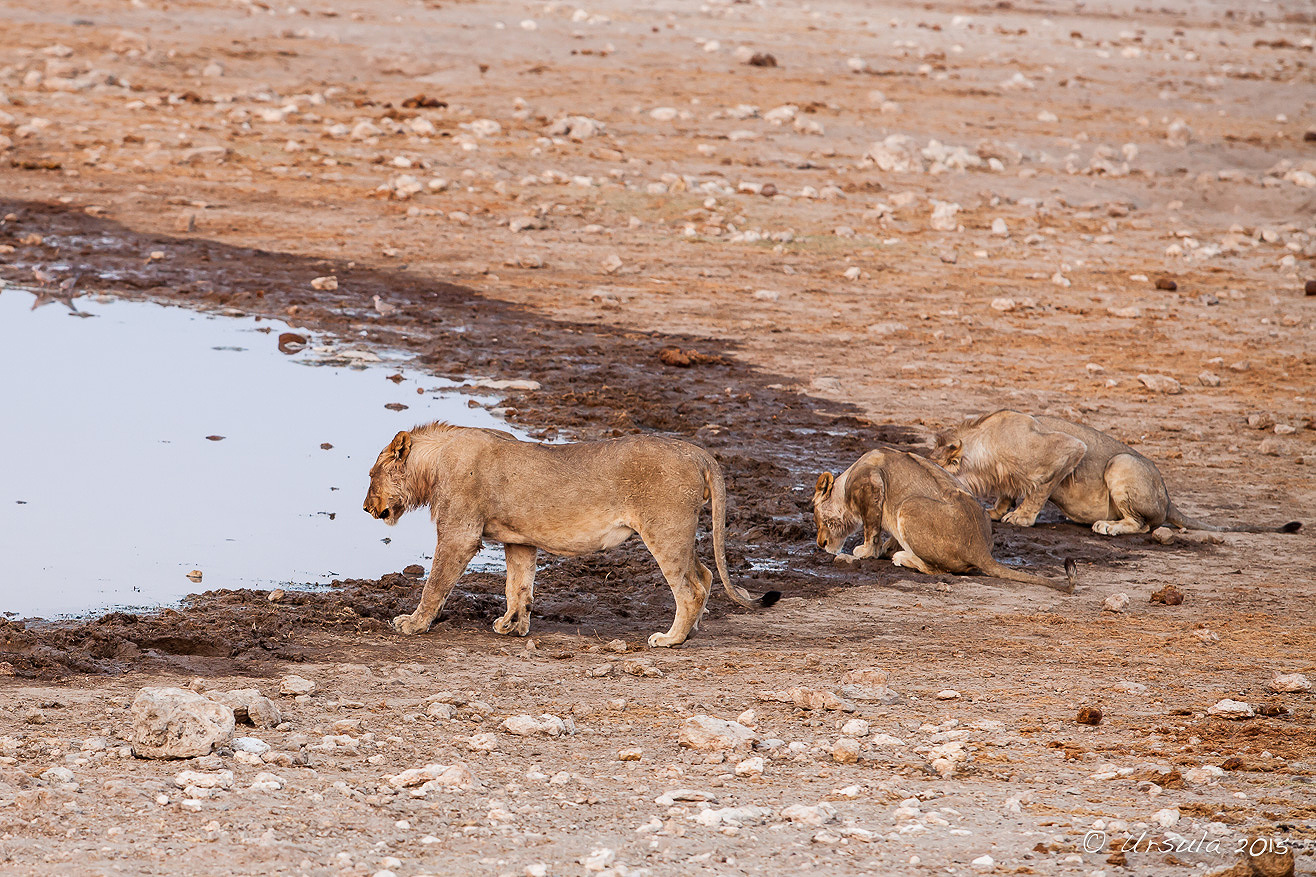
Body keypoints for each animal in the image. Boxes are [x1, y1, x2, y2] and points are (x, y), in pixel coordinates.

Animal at [363, 421, 779, 645]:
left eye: (371, 474)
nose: (366, 508)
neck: (433, 464)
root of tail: (697, 452)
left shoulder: (459, 534)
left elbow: (435, 584)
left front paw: (413, 624)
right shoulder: (519, 540)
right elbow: (518, 585)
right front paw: (513, 625)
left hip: (665, 530)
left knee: (690, 588)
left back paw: (670, 639)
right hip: (680, 531)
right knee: (706, 575)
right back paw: (691, 632)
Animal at [805, 445, 1073, 595]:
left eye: (816, 516)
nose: (820, 543)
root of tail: (979, 549)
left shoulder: (871, 485)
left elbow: (871, 531)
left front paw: (865, 552)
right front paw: (884, 548)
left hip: (908, 505)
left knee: (936, 569)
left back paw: (902, 558)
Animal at [931, 408, 1300, 531]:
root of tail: (1169, 498)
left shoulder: (1067, 449)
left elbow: (1039, 489)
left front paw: (1021, 517)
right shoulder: (1004, 476)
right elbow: (1008, 491)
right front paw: (997, 510)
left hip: (1121, 463)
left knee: (1143, 525)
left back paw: (1109, 527)